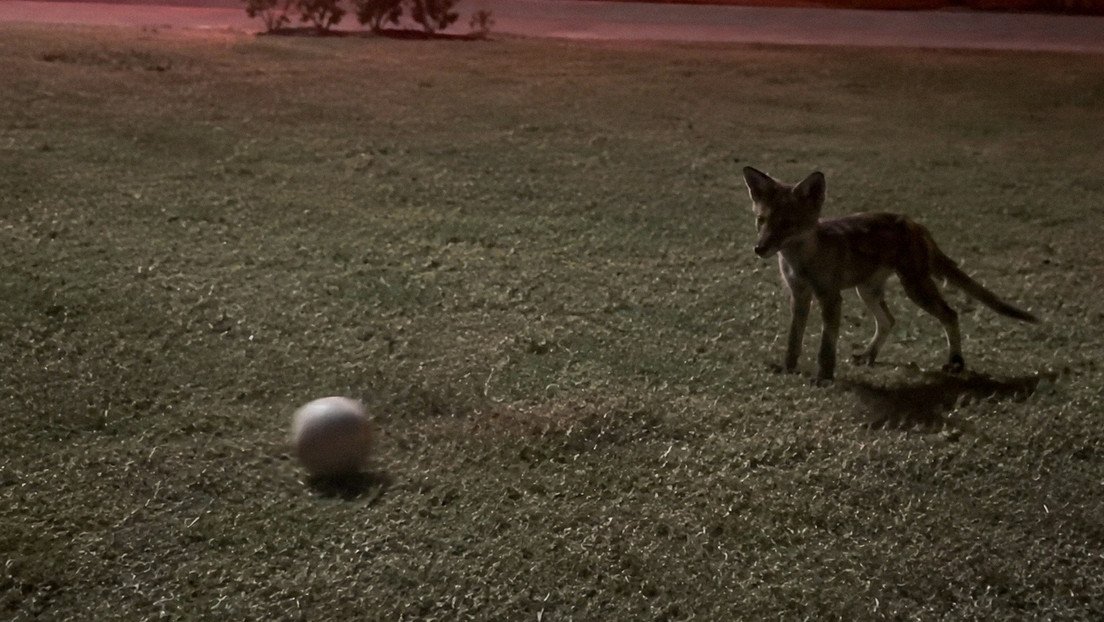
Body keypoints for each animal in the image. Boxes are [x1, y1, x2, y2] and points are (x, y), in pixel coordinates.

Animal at [741, 166, 1038, 385]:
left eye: (787, 224)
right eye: (761, 221)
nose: (759, 248)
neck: (801, 261)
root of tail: (914, 222)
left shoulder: (830, 297)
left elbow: (826, 346)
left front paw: (824, 377)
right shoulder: (799, 295)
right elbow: (794, 339)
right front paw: (788, 368)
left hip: (915, 288)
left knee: (950, 314)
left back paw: (955, 361)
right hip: (868, 291)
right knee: (889, 321)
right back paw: (869, 355)